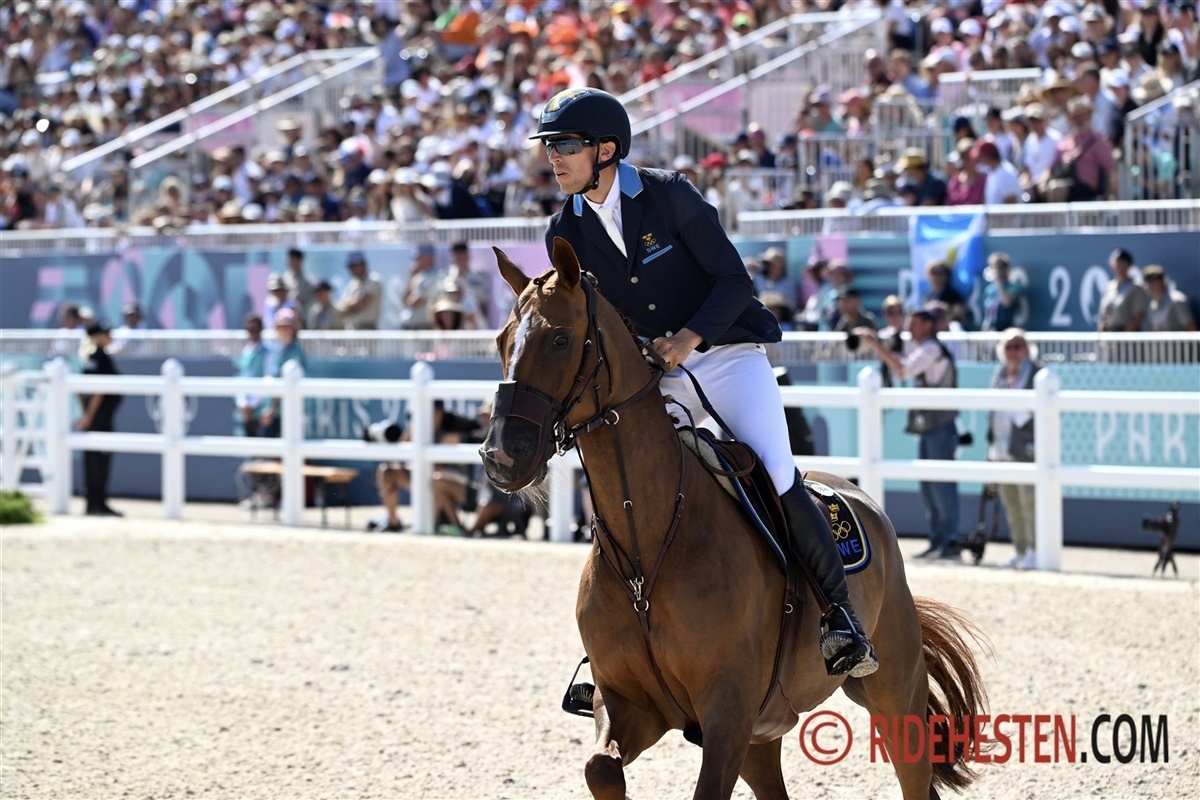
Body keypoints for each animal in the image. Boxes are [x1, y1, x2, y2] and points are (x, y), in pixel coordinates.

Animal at [480, 238, 988, 800]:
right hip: (766, 731)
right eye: (501, 340)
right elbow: (601, 769)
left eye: (560, 339)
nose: (502, 456)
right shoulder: (630, 703)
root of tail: (862, 497)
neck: (645, 547)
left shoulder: (727, 713)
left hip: (894, 693)